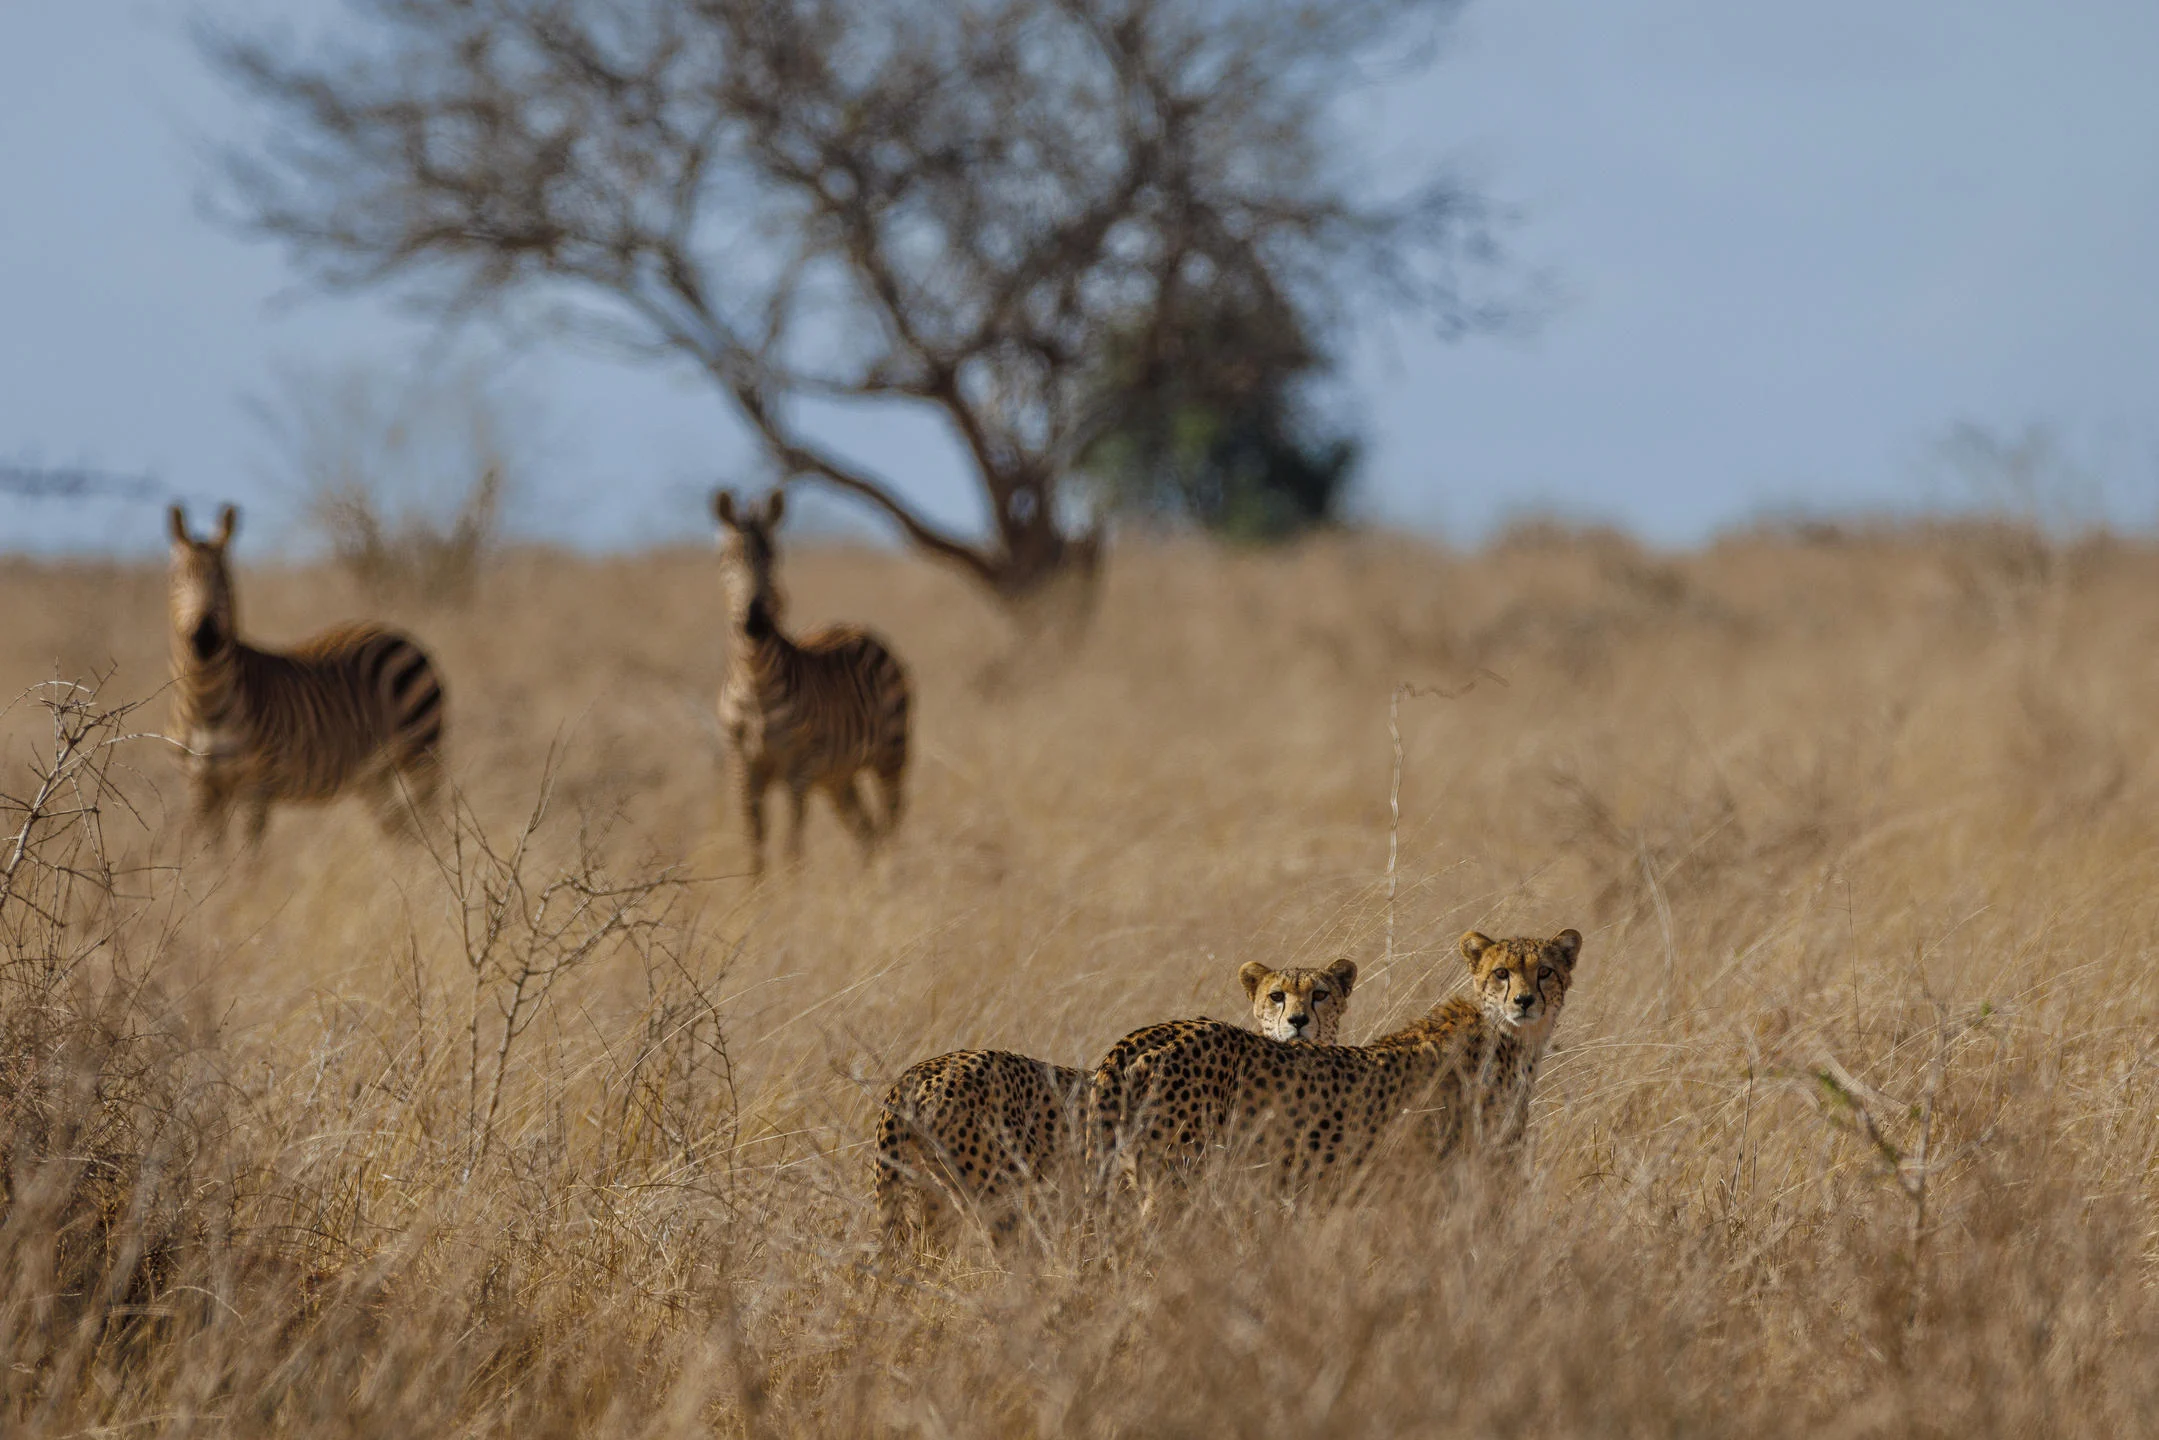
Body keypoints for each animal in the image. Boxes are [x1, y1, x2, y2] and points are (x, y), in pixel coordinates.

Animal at [874, 958, 1360, 1248]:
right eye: (1277, 995)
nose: (1298, 1020)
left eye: (1320, 993)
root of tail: (919, 1070)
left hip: (932, 1200)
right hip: (1000, 1197)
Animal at [1086, 929, 1584, 1205]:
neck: (1509, 1038)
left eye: (1545, 971)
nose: (1524, 1001)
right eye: (1502, 972)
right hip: (1176, 1181)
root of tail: (1151, 1031)